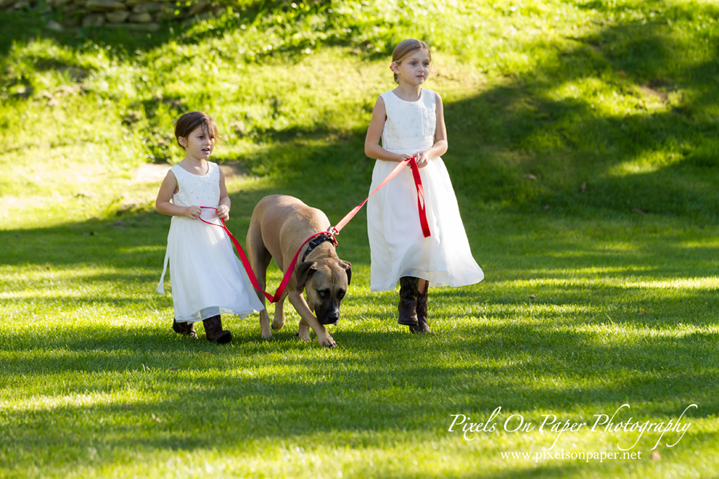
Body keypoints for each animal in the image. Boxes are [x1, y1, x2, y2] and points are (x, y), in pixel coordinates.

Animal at [245, 195, 352, 348]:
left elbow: (308, 315)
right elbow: (311, 316)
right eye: (323, 293)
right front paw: (325, 338)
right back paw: (266, 331)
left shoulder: (309, 287)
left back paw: (278, 321)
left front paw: (303, 334)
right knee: (262, 301)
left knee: (281, 291)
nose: (334, 317)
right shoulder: (299, 292)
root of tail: (268, 197)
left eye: (341, 293)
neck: (317, 247)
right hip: (258, 267)